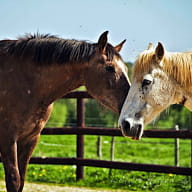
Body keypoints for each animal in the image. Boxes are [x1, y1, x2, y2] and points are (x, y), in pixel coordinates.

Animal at [0, 30, 130, 191]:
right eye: (110, 68)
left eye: (126, 69)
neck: (26, 81)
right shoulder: (8, 137)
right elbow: (14, 180)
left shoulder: (30, 139)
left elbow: (21, 181)